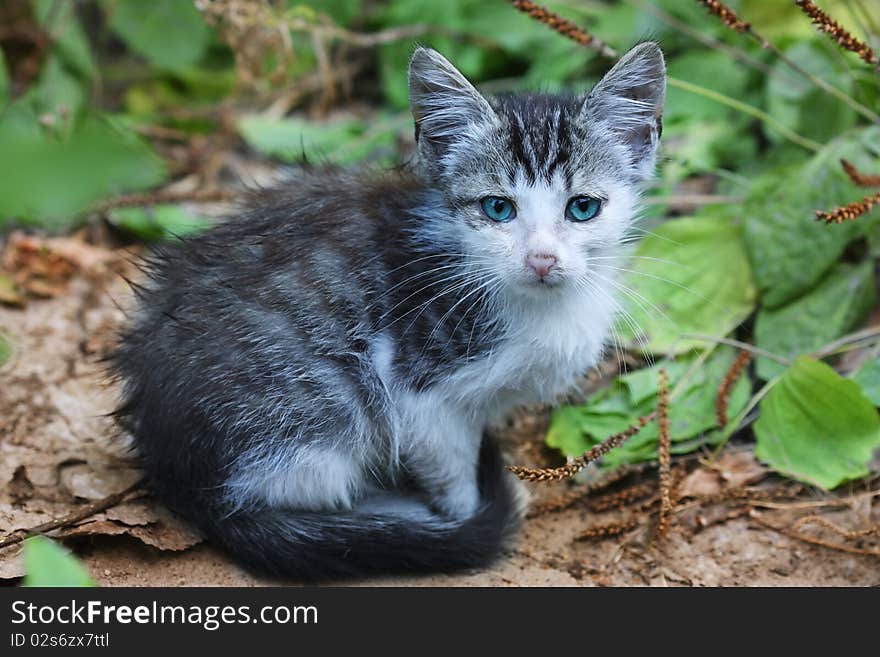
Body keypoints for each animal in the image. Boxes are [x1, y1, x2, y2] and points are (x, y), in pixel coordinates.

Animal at [113, 42, 668, 580]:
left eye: (583, 207)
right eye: (497, 208)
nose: (542, 259)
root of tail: (178, 478)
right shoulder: (416, 387)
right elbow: (451, 466)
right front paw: (461, 516)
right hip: (326, 403)